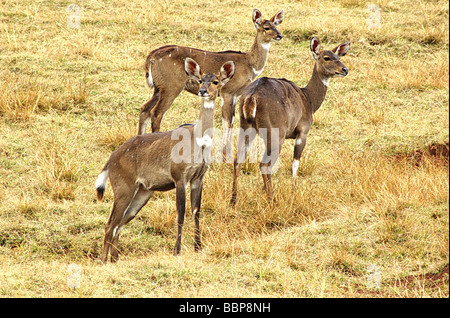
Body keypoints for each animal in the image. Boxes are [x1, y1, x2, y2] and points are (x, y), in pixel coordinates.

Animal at [96, 58, 234, 262]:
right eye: (201, 80)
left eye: (216, 81)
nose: (203, 91)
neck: (198, 141)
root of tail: (110, 160)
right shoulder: (179, 176)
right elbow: (180, 213)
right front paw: (177, 250)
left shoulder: (198, 177)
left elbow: (196, 211)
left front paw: (198, 247)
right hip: (123, 187)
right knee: (110, 224)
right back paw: (104, 260)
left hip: (143, 192)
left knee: (119, 223)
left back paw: (114, 259)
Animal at [139, 9, 284, 158]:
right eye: (266, 27)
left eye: (277, 25)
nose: (279, 35)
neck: (249, 65)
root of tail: (151, 57)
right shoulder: (227, 92)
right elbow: (227, 121)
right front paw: (227, 153)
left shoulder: (236, 95)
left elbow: (232, 120)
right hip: (171, 87)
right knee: (156, 112)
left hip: (158, 88)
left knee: (145, 108)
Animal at [230, 35, 350, 204]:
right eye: (326, 57)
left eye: (339, 57)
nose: (345, 70)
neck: (309, 100)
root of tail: (251, 97)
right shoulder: (302, 132)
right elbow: (295, 163)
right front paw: (294, 190)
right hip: (275, 133)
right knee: (264, 163)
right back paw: (272, 200)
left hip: (246, 127)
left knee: (238, 160)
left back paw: (233, 200)